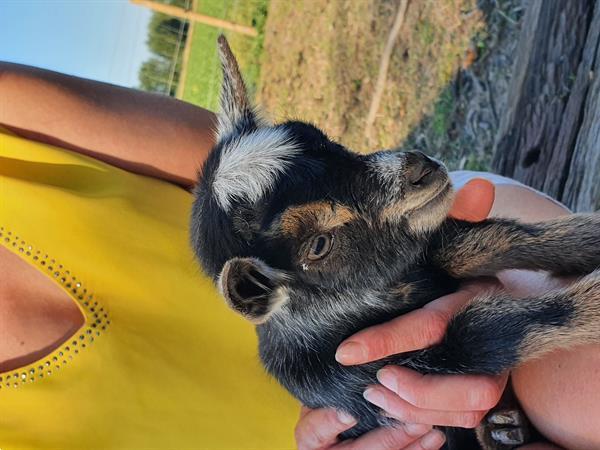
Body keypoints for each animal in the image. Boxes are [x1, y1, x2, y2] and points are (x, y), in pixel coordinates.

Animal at [191, 37, 600, 448]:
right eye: (318, 245)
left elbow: (480, 242)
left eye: (321, 138)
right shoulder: (389, 379)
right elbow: (482, 331)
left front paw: (591, 239)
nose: (421, 170)